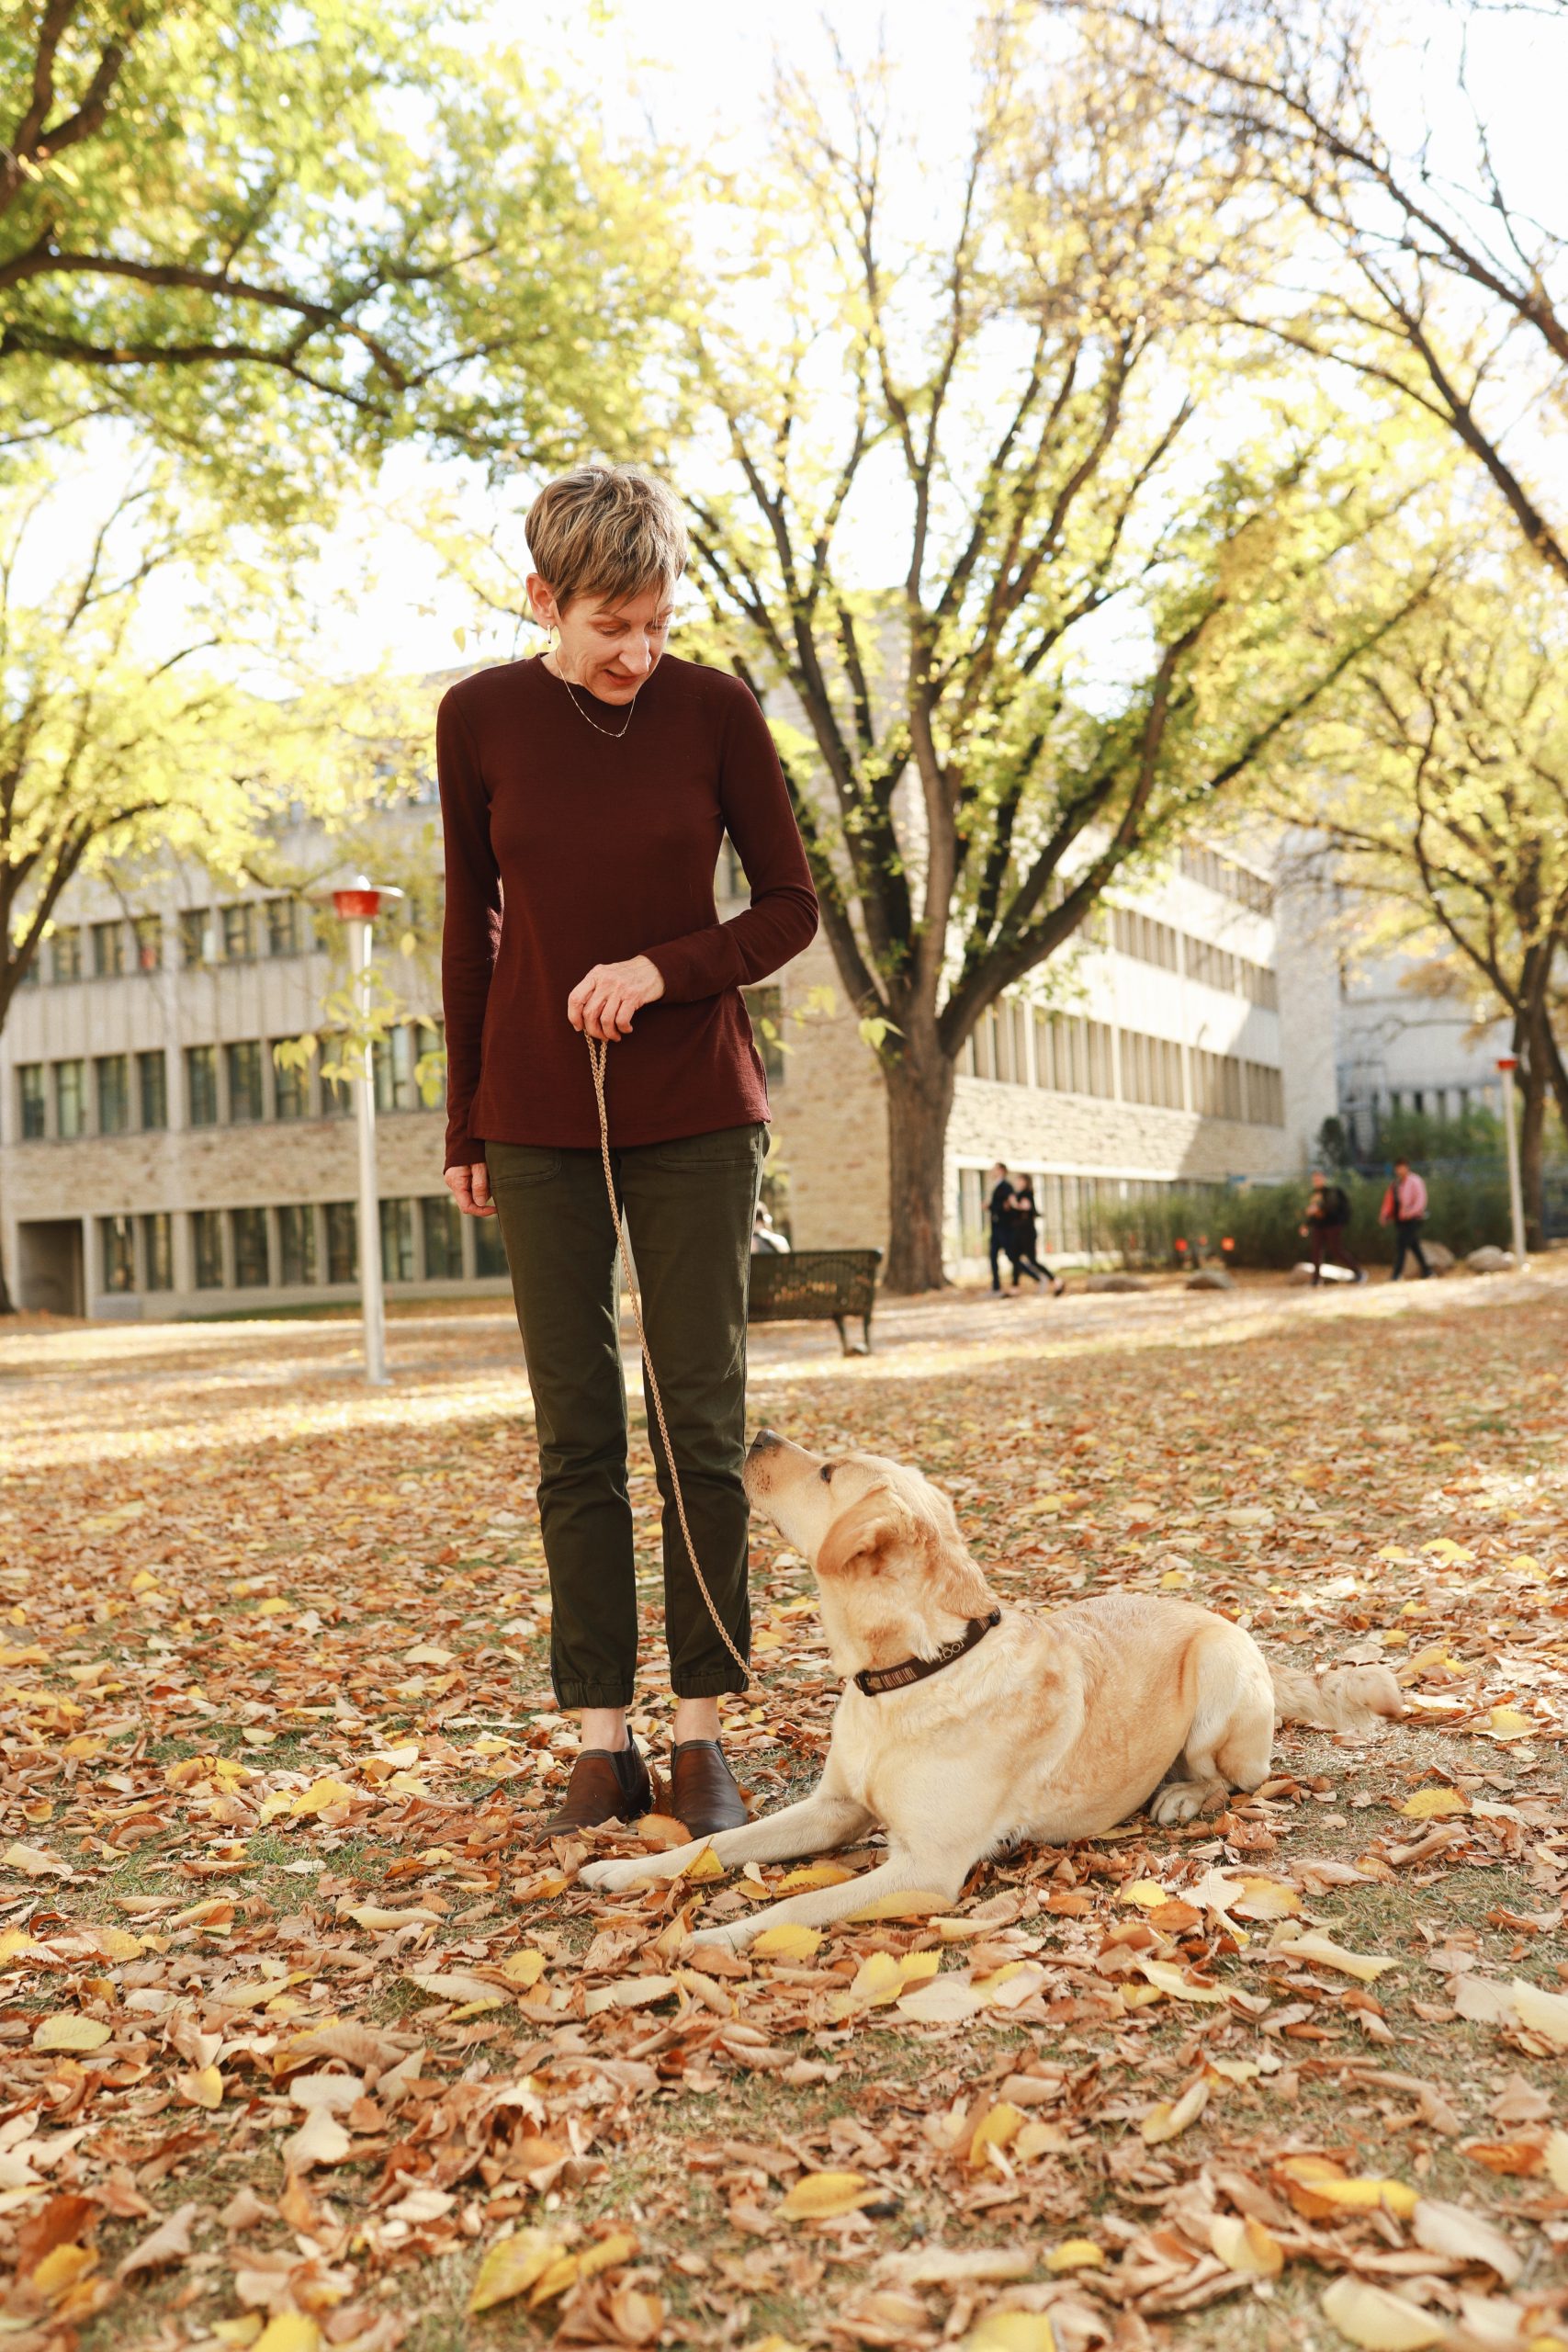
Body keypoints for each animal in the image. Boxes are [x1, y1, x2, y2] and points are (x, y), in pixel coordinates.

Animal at [581, 1430, 1410, 1947]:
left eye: (826, 1473)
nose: (757, 1436)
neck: (911, 1677)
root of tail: (1220, 1619)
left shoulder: (923, 1870)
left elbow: (804, 1902)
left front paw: (718, 1934)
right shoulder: (833, 1810)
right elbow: (713, 1844)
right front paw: (625, 1868)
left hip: (1216, 1675)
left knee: (1236, 1781)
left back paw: (1180, 1795)